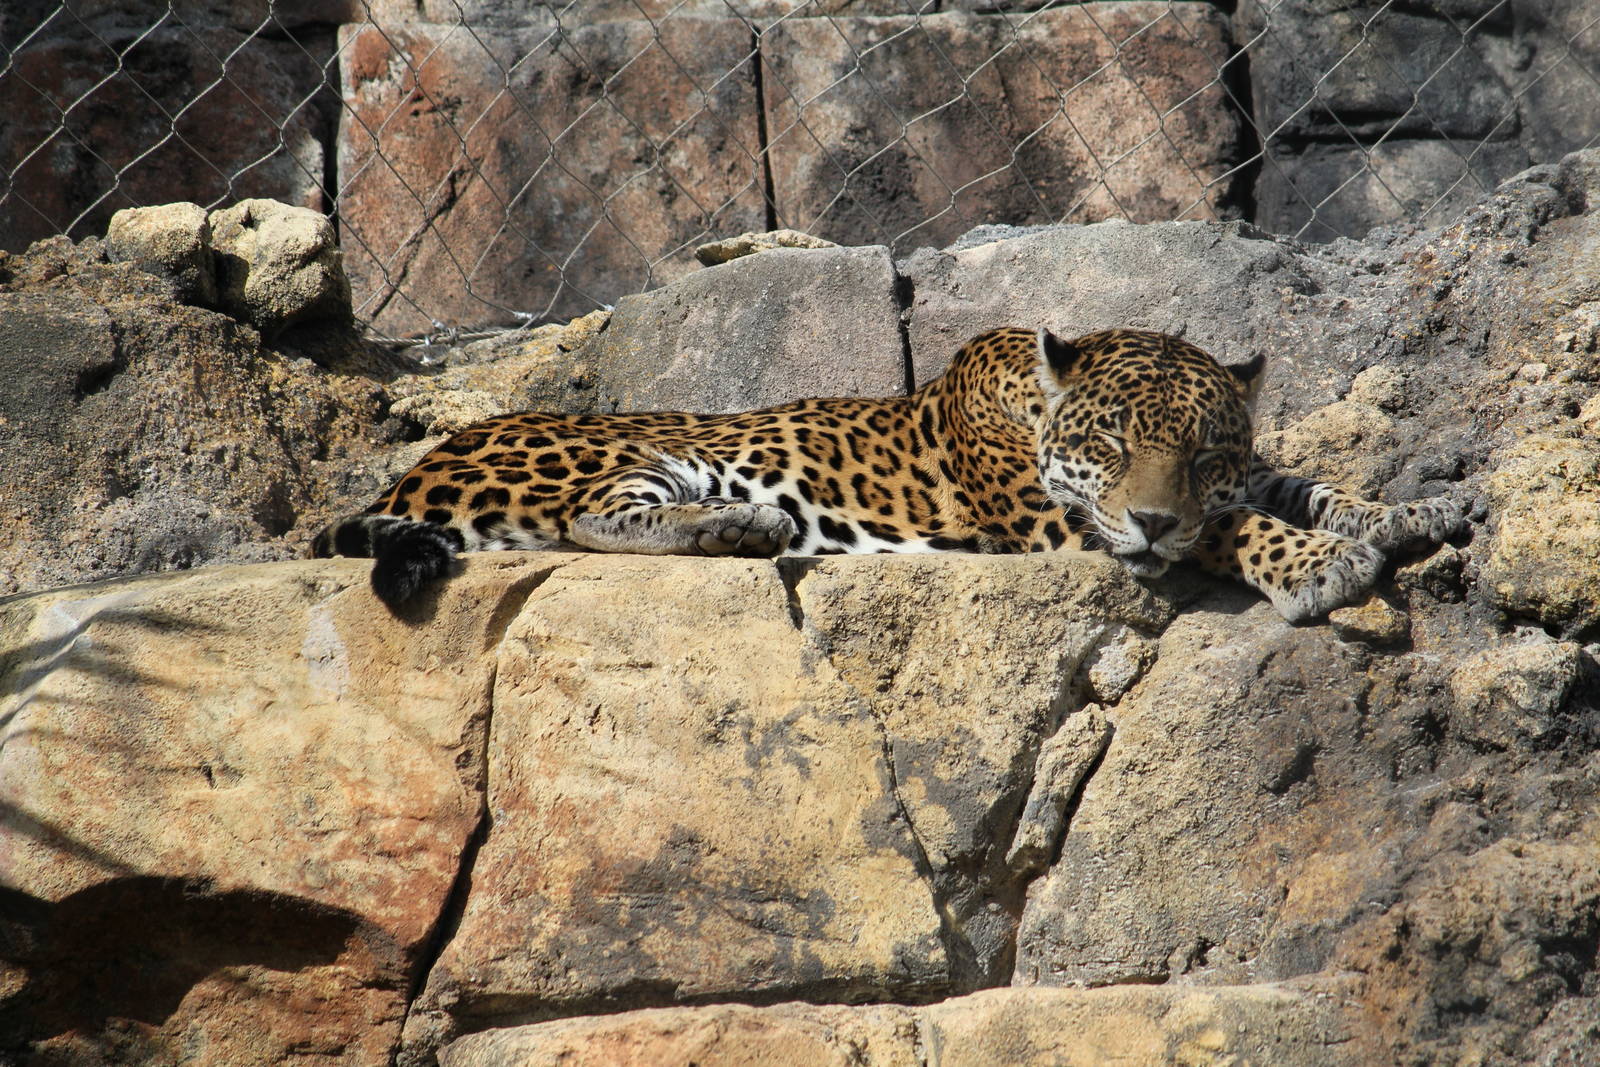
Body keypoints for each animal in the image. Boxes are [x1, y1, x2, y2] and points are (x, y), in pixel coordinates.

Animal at [312, 327, 1461, 623]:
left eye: (1207, 451)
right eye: (1111, 445)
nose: (1150, 520)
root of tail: (404, 475)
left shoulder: (1238, 479)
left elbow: (1293, 486)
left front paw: (1413, 509)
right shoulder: (1063, 525)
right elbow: (1228, 529)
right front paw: (1316, 565)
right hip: (627, 449)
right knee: (592, 516)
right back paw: (743, 529)